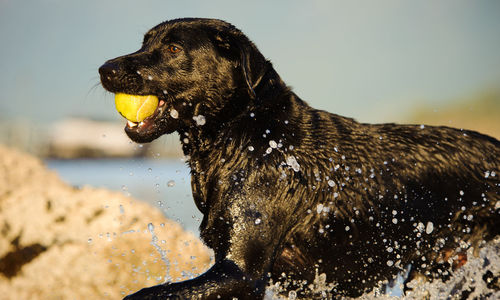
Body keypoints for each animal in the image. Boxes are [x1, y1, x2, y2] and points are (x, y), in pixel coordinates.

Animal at [98, 18, 500, 298]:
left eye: (173, 49)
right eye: (145, 42)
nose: (105, 69)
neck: (245, 135)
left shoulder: (241, 272)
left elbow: (149, 294)